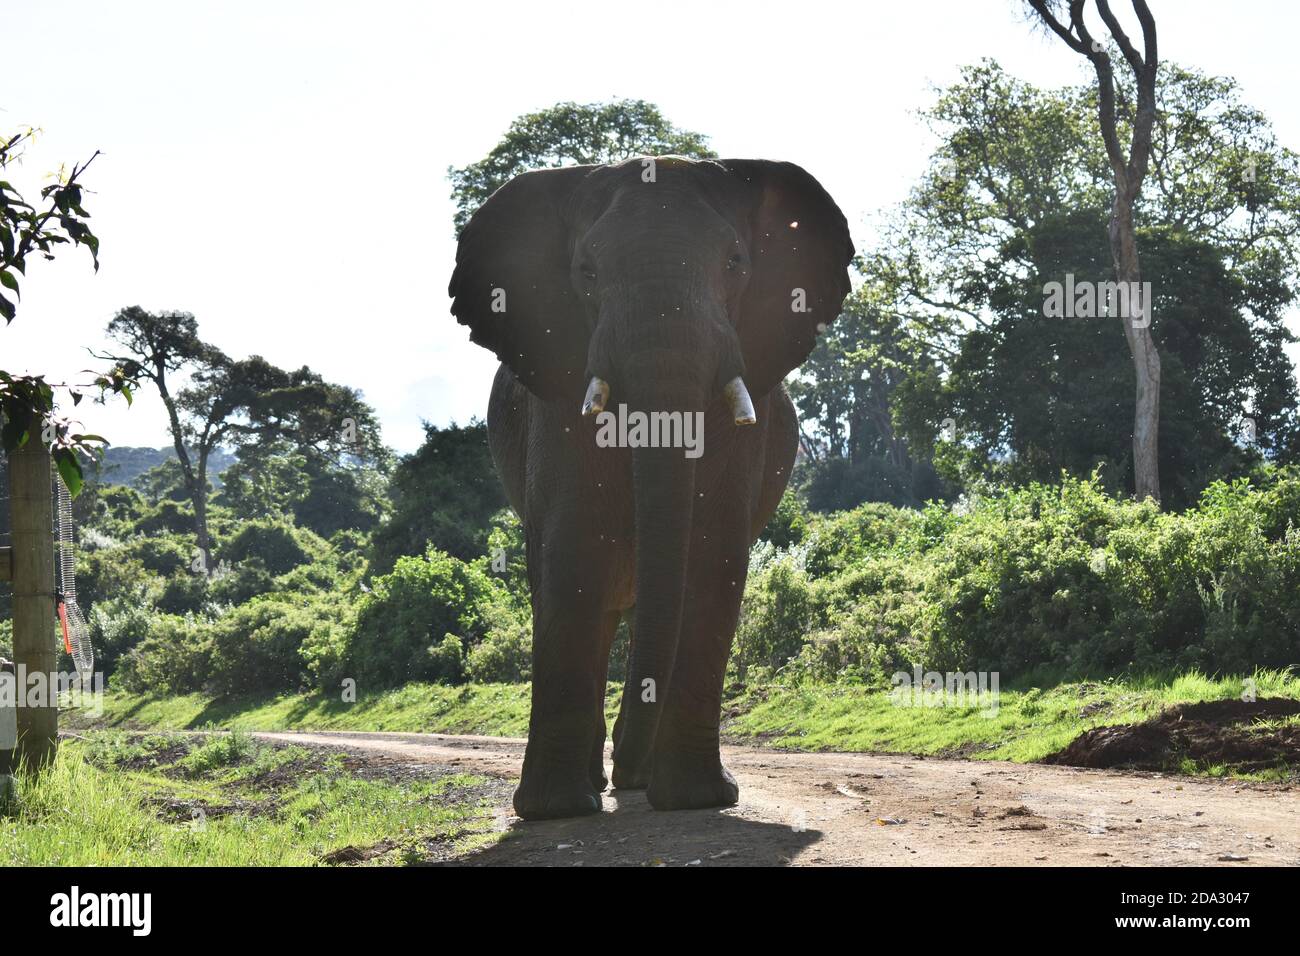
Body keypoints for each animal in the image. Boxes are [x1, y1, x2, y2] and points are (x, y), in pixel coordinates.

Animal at [447, 157, 852, 822]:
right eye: (586, 272)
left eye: (735, 263)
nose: (626, 774)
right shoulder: (558, 396)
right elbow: (574, 552)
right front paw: (556, 811)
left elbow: (713, 553)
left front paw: (698, 801)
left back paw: (635, 779)